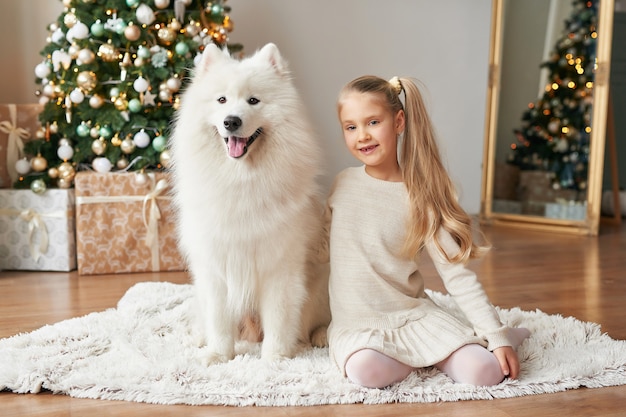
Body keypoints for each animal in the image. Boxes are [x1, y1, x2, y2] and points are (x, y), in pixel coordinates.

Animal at [168, 40, 330, 362]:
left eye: (254, 101)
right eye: (221, 100)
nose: (232, 121)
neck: (241, 180)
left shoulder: (280, 267)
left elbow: (279, 318)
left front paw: (274, 359)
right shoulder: (215, 267)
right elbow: (219, 320)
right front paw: (219, 356)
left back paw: (320, 336)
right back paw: (199, 338)